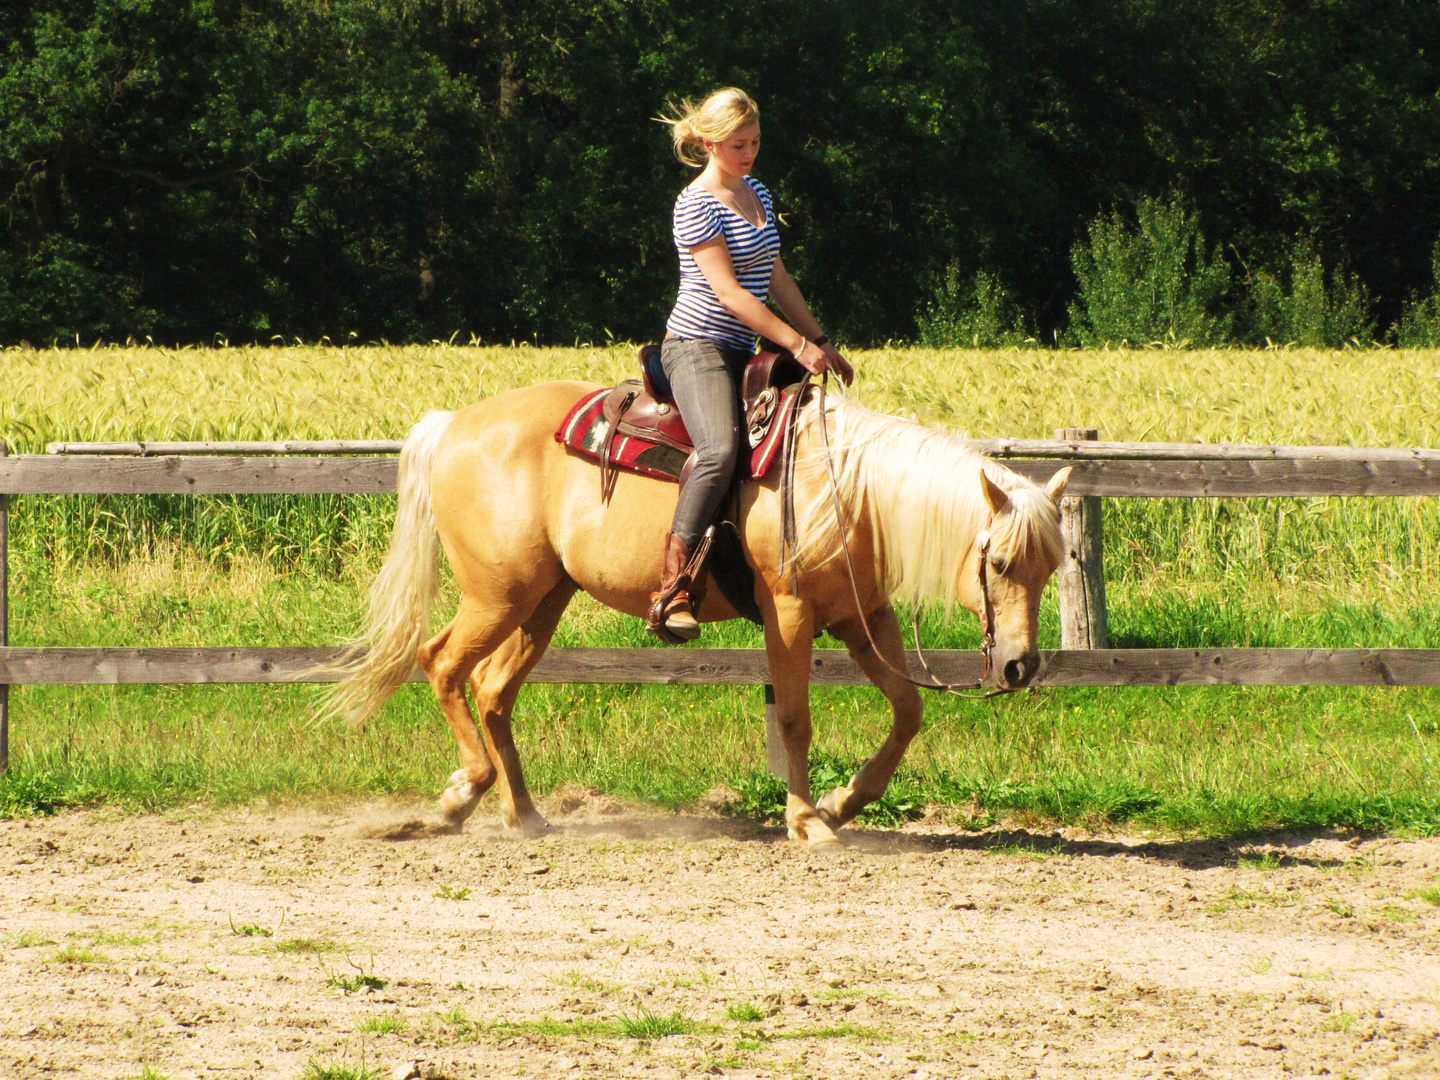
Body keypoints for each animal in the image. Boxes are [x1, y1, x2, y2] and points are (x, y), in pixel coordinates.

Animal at [326, 380, 1071, 852]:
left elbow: (908, 711)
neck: (842, 488)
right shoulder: (789, 615)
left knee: (493, 689)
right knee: (442, 664)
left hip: (543, 600)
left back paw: (524, 813)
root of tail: (453, 424)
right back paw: (463, 794)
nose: (1020, 666)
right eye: (1000, 562)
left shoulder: (862, 618)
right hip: (497, 595)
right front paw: (807, 820)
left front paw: (843, 802)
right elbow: (795, 719)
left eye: (1052, 566)